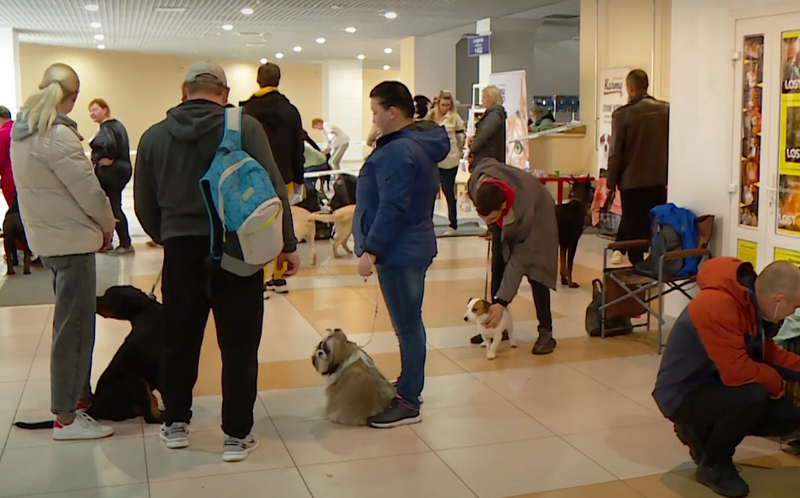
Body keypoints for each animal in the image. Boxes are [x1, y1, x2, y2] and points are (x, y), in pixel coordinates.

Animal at [14, 284, 163, 428]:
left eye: (107, 297)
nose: (93, 298)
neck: (145, 308)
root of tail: (94, 407)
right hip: (136, 381)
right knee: (150, 416)